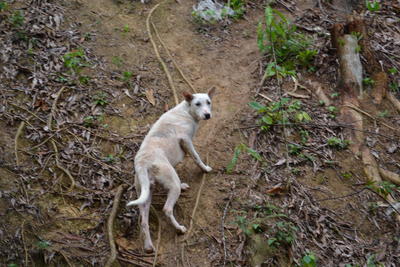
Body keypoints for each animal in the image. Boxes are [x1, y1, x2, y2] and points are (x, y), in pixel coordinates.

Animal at [128, 88, 216, 253]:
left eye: (208, 102)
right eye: (198, 104)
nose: (207, 115)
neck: (186, 111)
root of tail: (142, 162)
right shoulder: (186, 141)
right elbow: (196, 157)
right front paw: (205, 169)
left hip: (145, 195)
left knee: (144, 222)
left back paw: (148, 246)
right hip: (171, 187)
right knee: (167, 209)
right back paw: (179, 228)